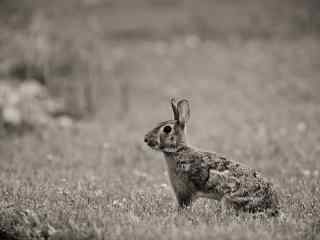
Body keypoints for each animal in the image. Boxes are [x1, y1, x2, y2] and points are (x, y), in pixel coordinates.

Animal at [144, 97, 278, 216]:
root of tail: (271, 204)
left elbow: (184, 204)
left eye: (167, 129)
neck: (178, 150)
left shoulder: (185, 190)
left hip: (231, 199)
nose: (146, 139)